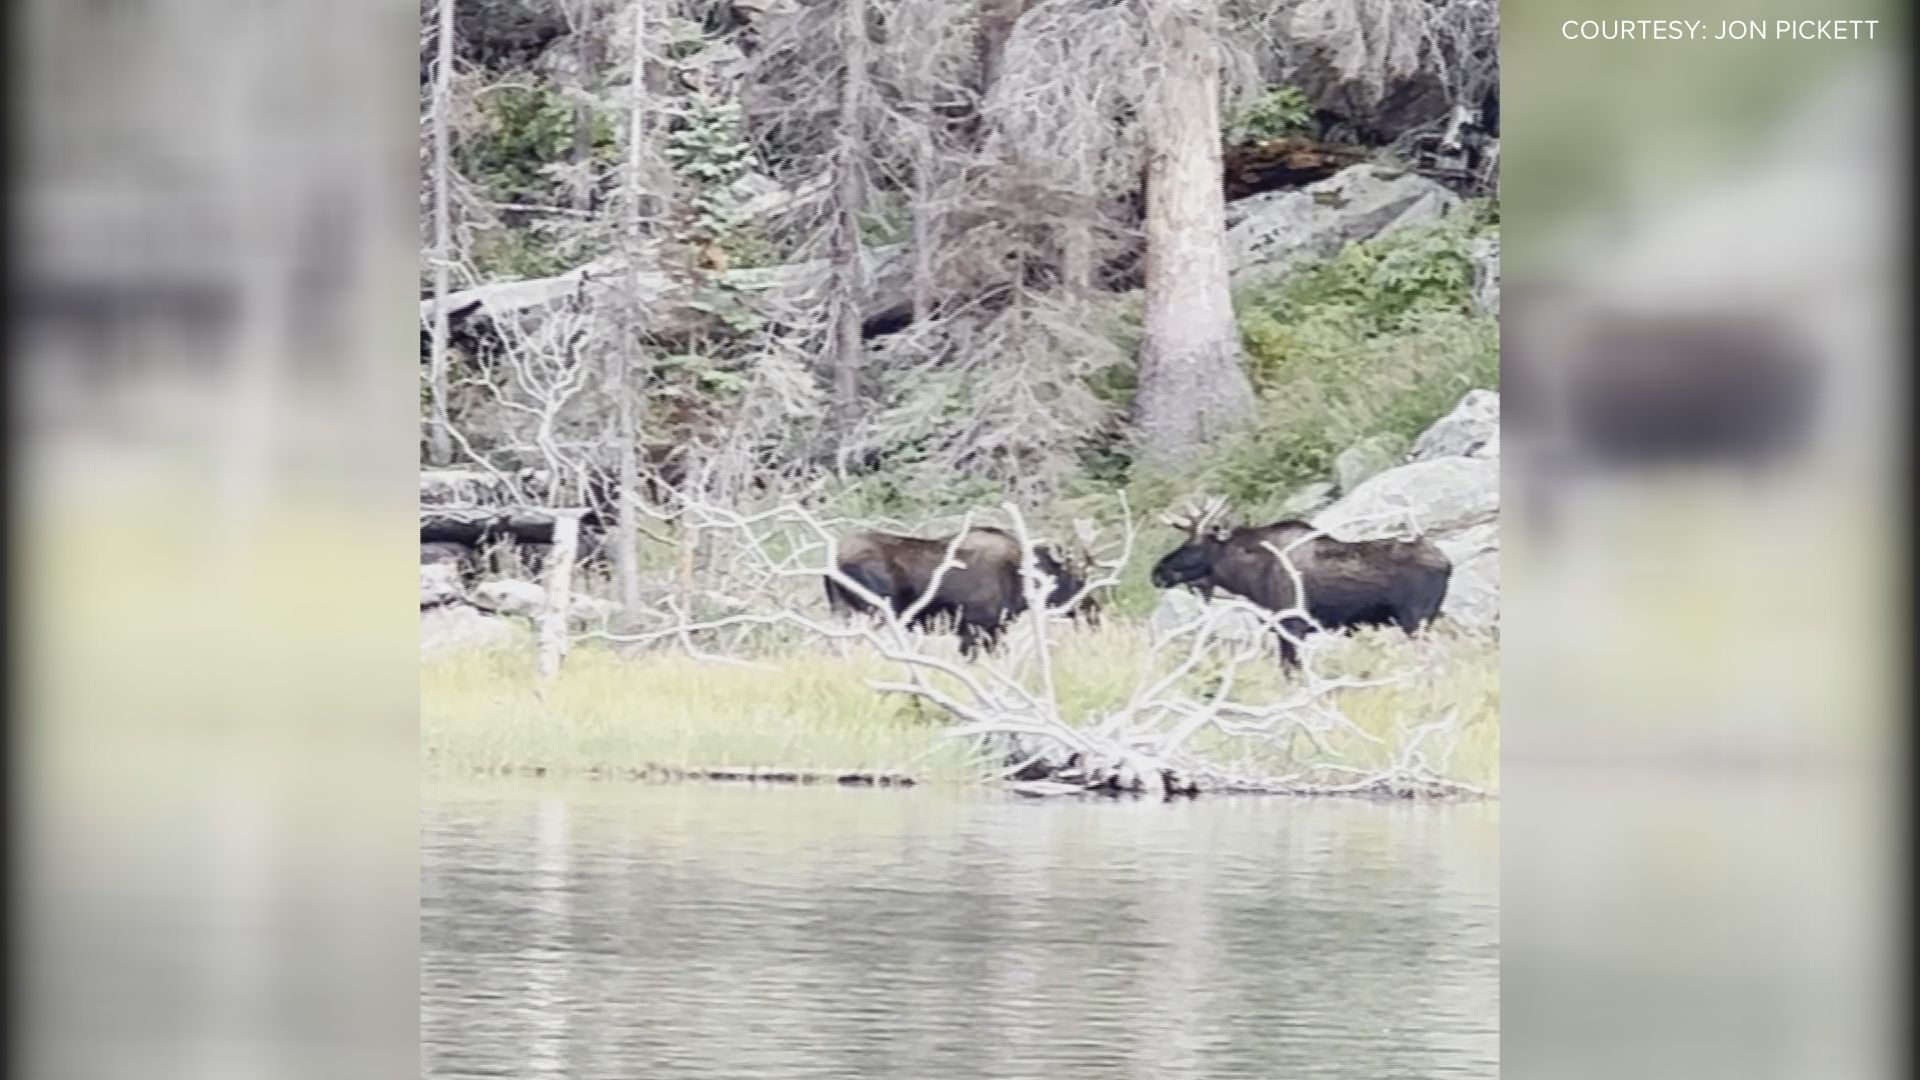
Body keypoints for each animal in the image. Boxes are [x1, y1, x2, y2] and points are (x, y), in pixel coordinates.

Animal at [825, 522, 1098, 657]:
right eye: (1075, 576)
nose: (1092, 610)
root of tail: (834, 561)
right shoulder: (975, 628)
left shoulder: (988, 630)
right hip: (876, 613)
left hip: (841, 610)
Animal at [1144, 499, 1443, 664]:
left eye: (1192, 545)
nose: (1157, 572)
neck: (1248, 578)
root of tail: (1447, 563)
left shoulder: (1291, 625)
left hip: (1416, 621)